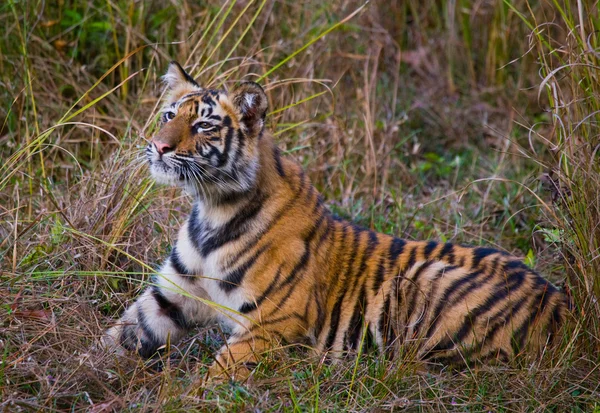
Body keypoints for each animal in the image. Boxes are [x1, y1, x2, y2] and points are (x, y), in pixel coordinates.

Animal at [101, 61, 568, 380]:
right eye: (169, 115)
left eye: (202, 126)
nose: (158, 147)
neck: (211, 209)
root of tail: (563, 305)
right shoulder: (169, 295)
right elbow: (118, 335)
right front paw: (88, 372)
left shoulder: (270, 322)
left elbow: (216, 374)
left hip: (426, 281)